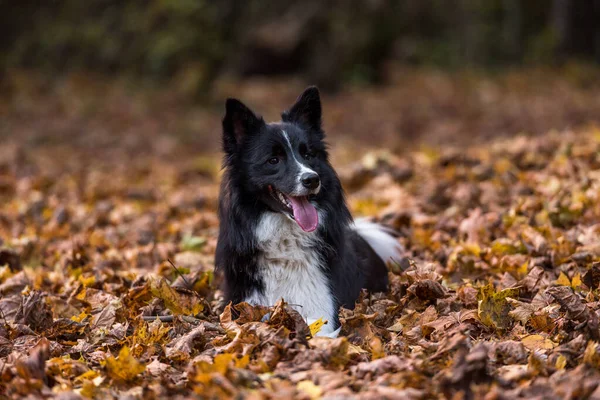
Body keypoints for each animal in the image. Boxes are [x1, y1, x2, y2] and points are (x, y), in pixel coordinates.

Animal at [213, 86, 400, 336]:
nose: (312, 179)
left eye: (308, 155)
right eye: (273, 160)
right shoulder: (245, 306)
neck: (285, 243)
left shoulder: (323, 314)